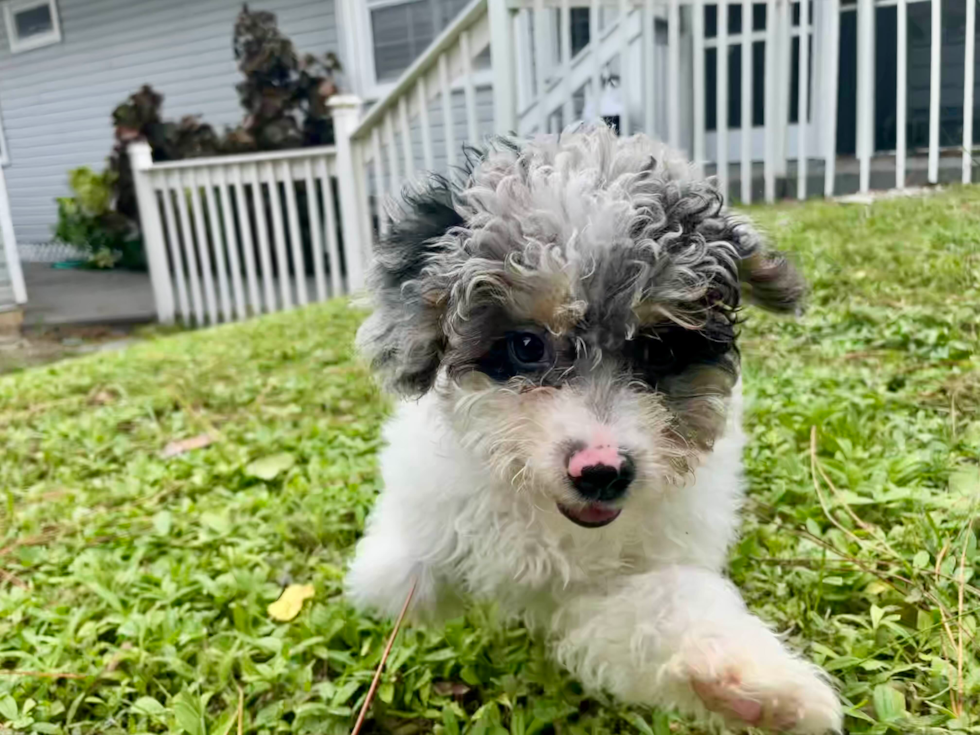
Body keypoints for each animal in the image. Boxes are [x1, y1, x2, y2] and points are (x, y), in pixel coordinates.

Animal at [346, 123, 844, 732]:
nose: (602, 473)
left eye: (660, 350)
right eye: (527, 345)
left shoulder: (606, 589)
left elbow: (662, 610)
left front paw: (762, 687)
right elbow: (404, 580)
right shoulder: (420, 530)